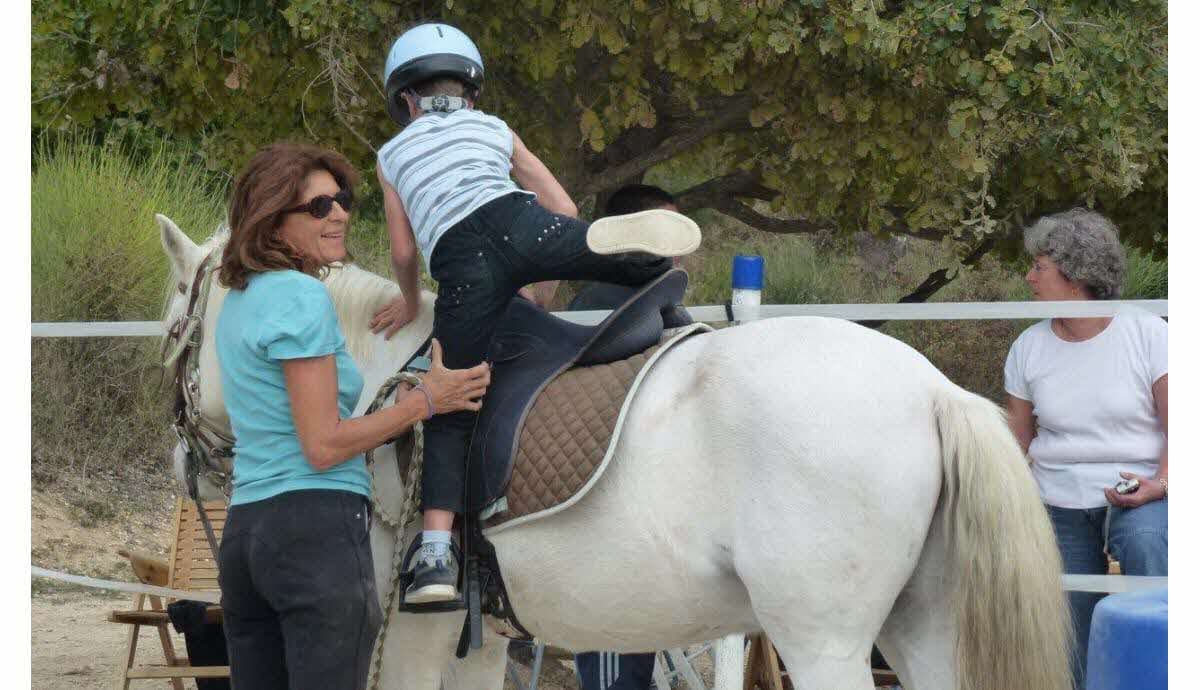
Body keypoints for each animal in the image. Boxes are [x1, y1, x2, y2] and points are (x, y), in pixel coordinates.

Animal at [157, 217, 1070, 690]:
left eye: (173, 322)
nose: (181, 456)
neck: (384, 385)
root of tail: (934, 391)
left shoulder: (409, 636)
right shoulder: (479, 643)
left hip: (825, 645)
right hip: (920, 631)